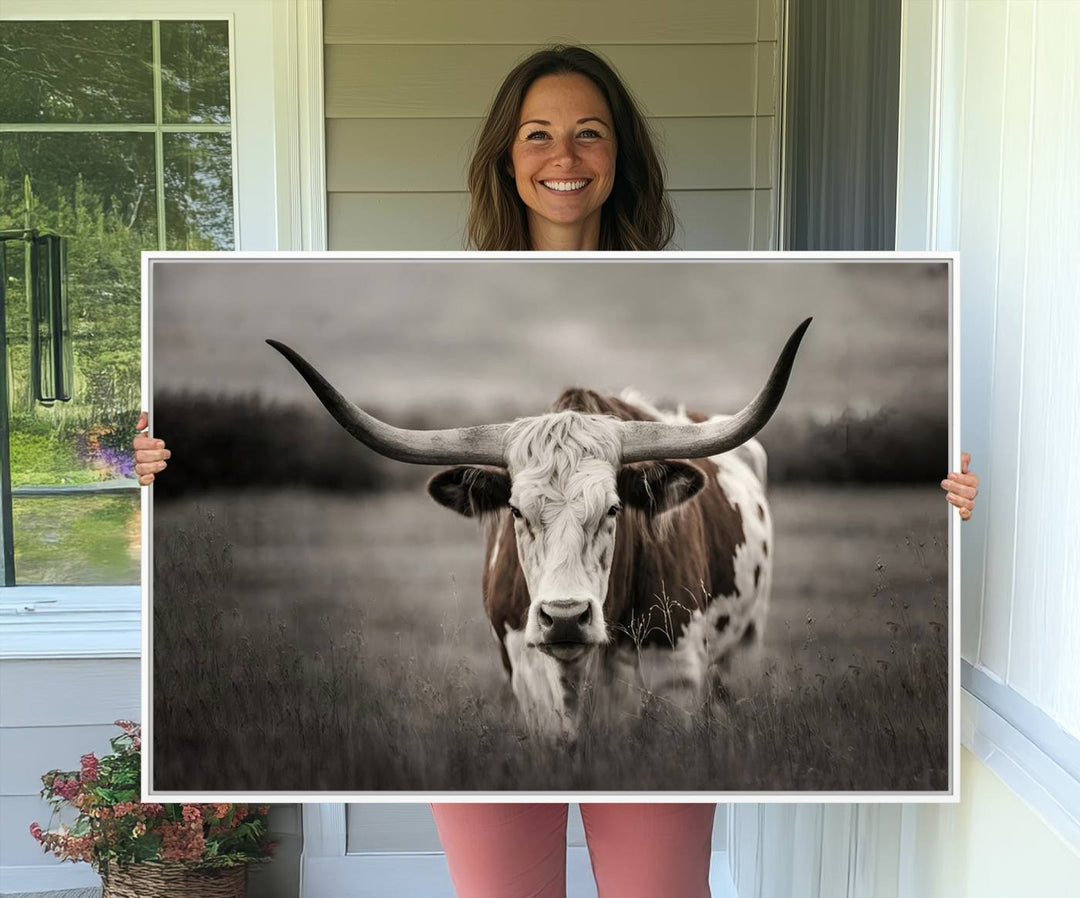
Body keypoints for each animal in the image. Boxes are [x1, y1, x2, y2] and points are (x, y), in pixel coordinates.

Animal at [267, 319, 812, 739]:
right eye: (515, 511)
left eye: (614, 509)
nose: (565, 617)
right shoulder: (528, 678)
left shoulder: (676, 673)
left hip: (743, 651)